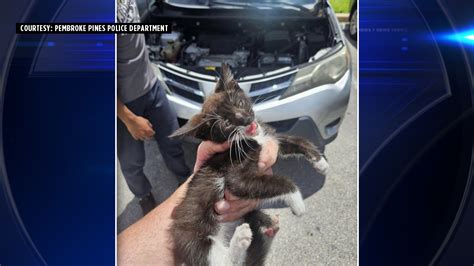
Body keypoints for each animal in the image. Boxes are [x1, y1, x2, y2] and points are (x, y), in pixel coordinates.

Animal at [170, 63, 330, 264]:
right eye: (225, 123)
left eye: (239, 103)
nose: (245, 119)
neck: (252, 138)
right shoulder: (234, 174)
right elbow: (278, 181)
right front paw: (297, 202)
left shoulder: (271, 138)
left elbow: (298, 141)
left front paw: (320, 162)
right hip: (191, 237)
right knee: (221, 260)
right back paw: (241, 239)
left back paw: (265, 224)